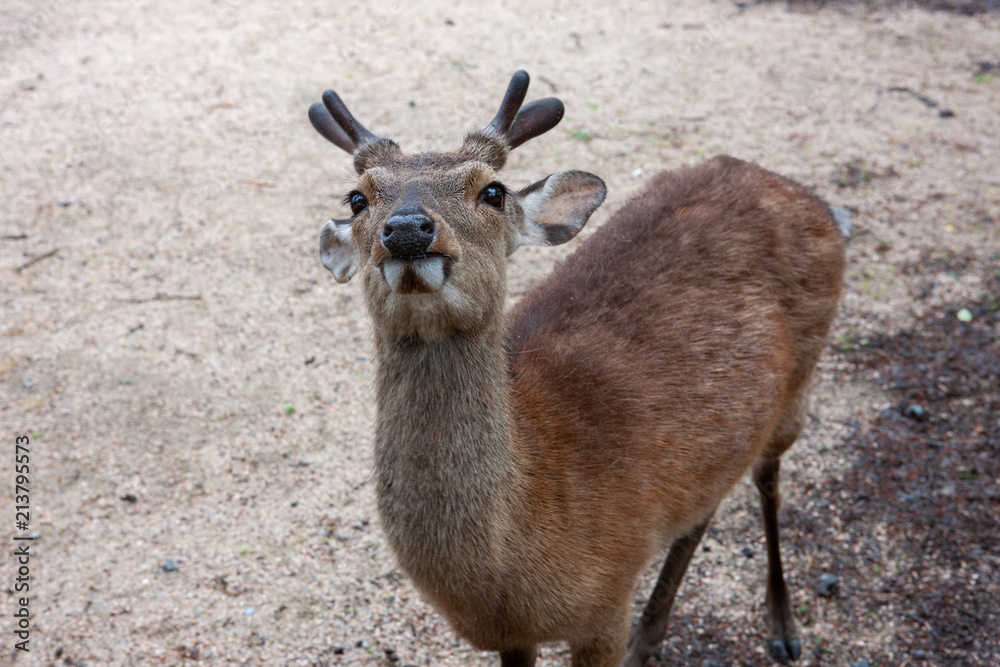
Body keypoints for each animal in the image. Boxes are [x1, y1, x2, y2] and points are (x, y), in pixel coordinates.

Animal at [307, 71, 846, 666]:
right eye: (358, 198)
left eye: (492, 191)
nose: (406, 228)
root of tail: (795, 188)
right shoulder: (513, 636)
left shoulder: (608, 598)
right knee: (709, 499)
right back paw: (651, 638)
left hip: (802, 377)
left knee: (768, 477)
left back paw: (782, 627)